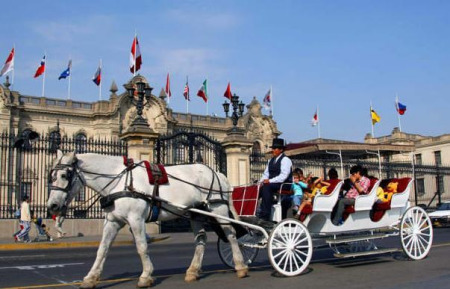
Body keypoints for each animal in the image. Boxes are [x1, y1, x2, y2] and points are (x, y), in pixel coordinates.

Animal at [47, 150, 248, 286]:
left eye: (65, 175)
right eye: (52, 176)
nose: (52, 206)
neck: (120, 180)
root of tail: (218, 172)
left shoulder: (136, 219)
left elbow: (141, 246)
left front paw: (146, 275)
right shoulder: (112, 221)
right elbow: (102, 249)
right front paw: (91, 277)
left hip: (217, 208)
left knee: (230, 234)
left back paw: (240, 266)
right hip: (196, 213)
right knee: (201, 239)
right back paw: (192, 271)